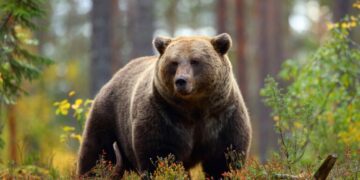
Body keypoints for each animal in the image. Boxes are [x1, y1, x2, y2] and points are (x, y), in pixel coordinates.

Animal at [76, 33, 250, 178]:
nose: (181, 81)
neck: (195, 109)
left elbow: (224, 159)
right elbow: (161, 156)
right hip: (108, 118)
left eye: (195, 61)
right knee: (97, 154)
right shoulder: (164, 116)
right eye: (174, 62)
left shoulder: (222, 116)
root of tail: (114, 76)